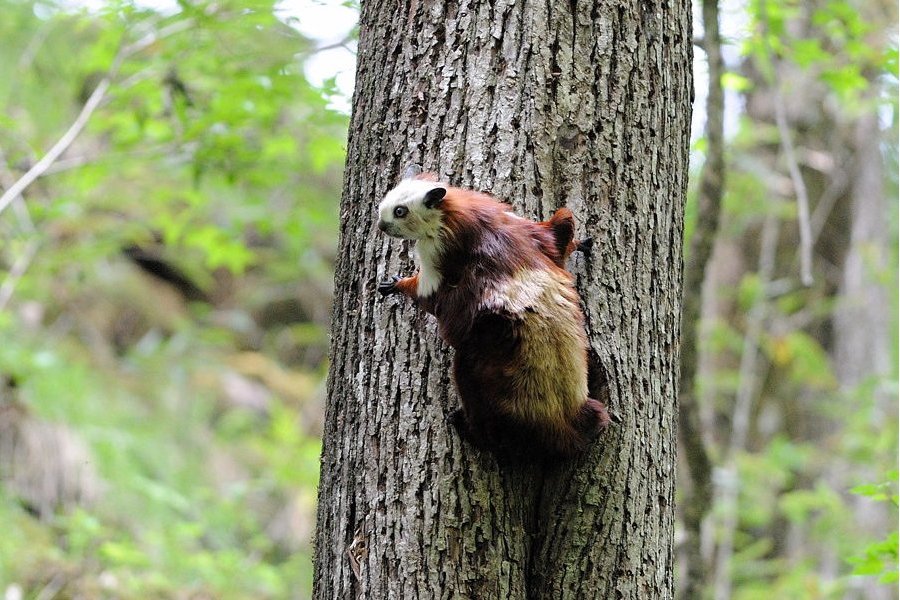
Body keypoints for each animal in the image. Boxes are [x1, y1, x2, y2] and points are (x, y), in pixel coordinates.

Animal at [376, 170, 608, 460]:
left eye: (400, 211)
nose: (381, 225)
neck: (457, 214)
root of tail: (562, 418)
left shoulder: (434, 259)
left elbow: (428, 298)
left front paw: (395, 285)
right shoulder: (536, 232)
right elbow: (558, 240)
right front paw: (580, 244)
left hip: (472, 365)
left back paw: (468, 428)